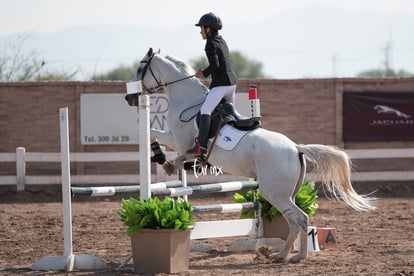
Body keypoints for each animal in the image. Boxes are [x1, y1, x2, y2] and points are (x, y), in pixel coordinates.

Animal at [125, 48, 376, 264]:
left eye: (140, 68)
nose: (131, 99)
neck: (186, 99)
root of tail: (296, 148)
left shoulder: (178, 139)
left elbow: (151, 133)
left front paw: (164, 160)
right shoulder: (181, 144)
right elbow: (171, 149)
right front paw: (176, 163)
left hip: (273, 192)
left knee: (300, 220)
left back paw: (293, 256)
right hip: (286, 193)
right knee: (295, 222)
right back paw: (284, 255)